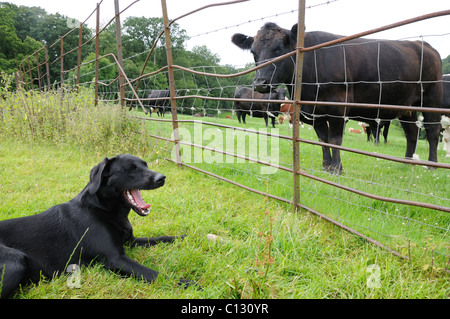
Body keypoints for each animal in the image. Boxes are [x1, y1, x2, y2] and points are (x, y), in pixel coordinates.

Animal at [0, 154, 192, 298]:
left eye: (145, 165)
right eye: (130, 169)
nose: (162, 178)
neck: (103, 209)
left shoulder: (130, 241)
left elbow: (162, 238)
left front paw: (185, 237)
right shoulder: (116, 258)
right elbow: (155, 274)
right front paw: (189, 283)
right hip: (16, 260)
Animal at [232, 22, 442, 175]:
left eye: (279, 50)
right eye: (253, 52)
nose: (260, 82)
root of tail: (424, 45)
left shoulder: (337, 108)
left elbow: (334, 139)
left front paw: (337, 169)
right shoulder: (313, 112)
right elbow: (323, 139)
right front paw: (326, 166)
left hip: (432, 99)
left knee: (432, 132)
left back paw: (432, 165)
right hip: (407, 106)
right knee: (412, 132)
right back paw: (407, 162)